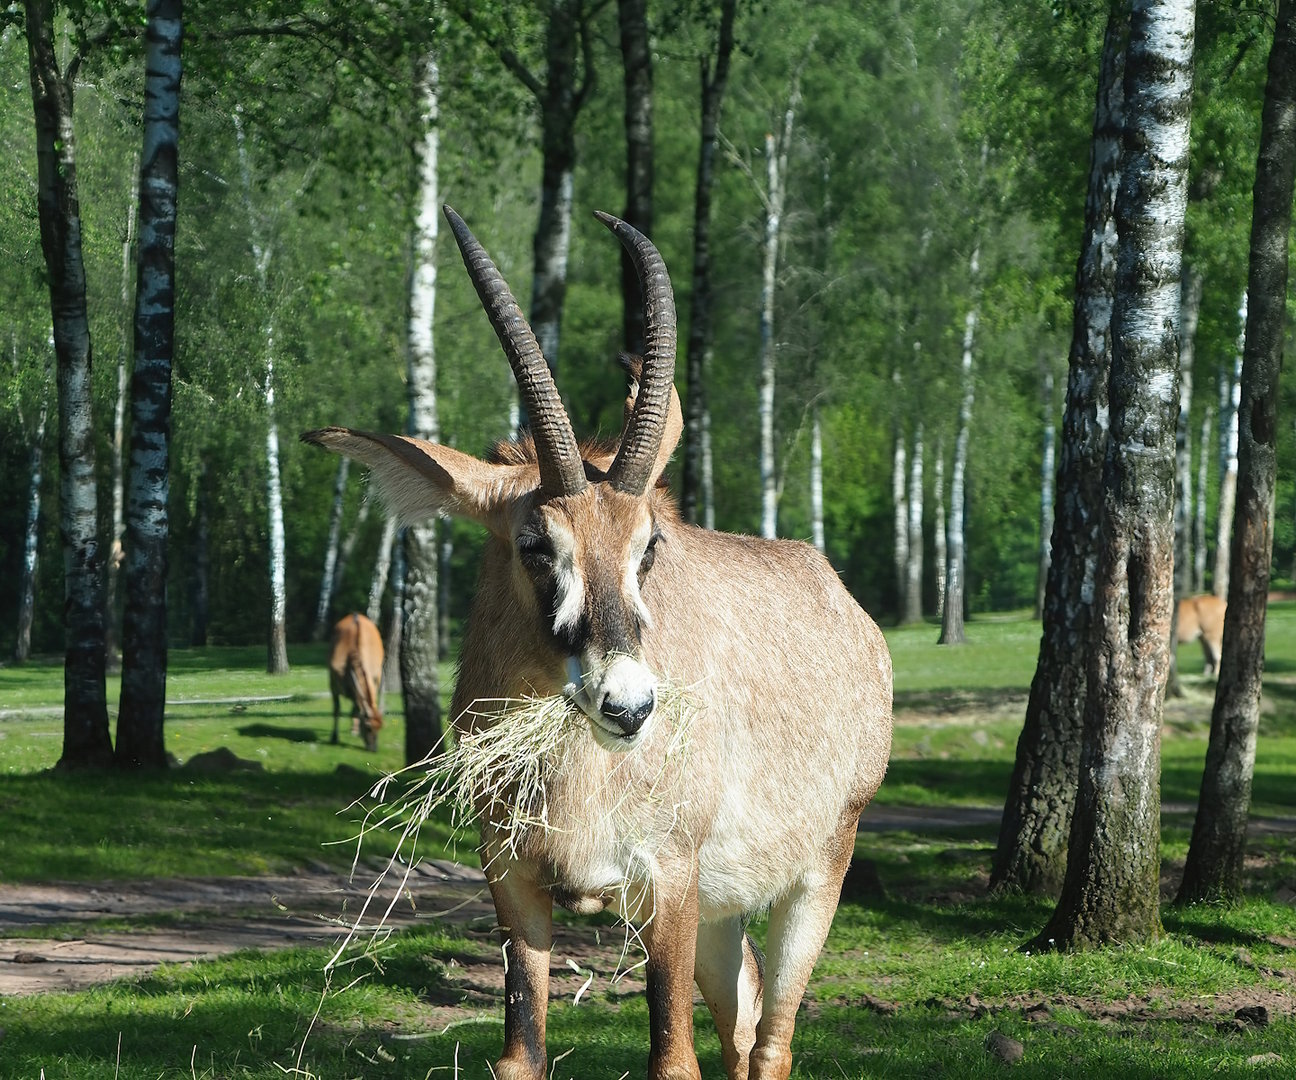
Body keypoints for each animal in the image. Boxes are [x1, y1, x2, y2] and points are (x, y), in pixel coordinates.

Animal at [327, 612, 384, 751]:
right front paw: (334, 737)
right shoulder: (333, 683)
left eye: (380, 727)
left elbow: (358, 708)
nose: (374, 749)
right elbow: (337, 709)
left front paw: (355, 730)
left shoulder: (375, 679)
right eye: (368, 727)